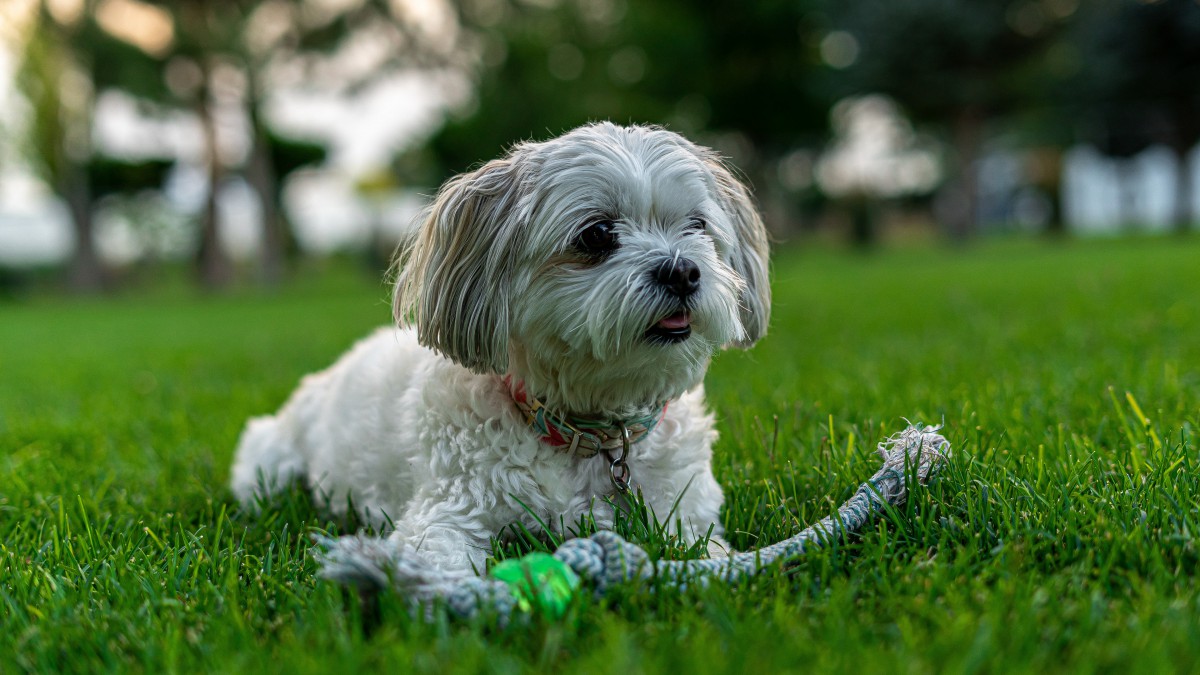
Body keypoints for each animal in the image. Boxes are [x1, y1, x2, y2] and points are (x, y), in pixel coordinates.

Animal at [230, 121, 772, 571]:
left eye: (698, 226)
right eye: (597, 234)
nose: (682, 270)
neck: (590, 436)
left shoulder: (685, 513)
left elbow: (709, 553)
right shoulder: (445, 514)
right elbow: (441, 566)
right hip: (268, 463)